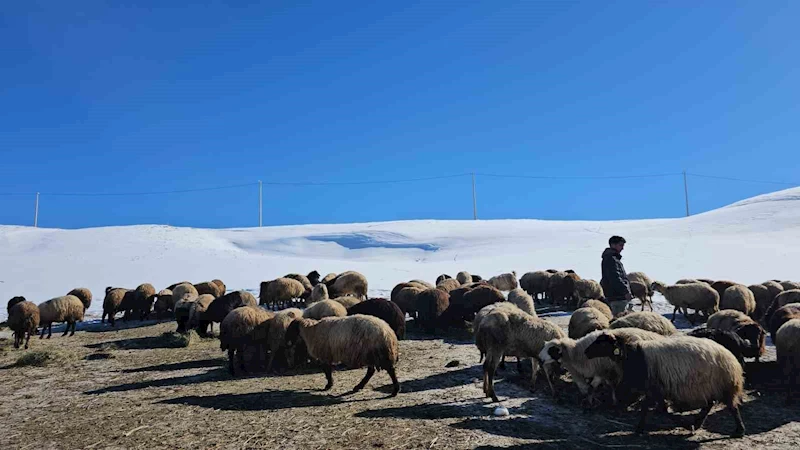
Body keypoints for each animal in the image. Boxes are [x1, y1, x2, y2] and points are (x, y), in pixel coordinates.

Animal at [584, 334, 748, 436]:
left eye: (602, 342)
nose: (586, 352)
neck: (631, 356)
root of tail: (731, 358)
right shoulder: (654, 388)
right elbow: (651, 408)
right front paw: (639, 429)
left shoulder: (654, 387)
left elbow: (659, 409)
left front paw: (686, 425)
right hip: (709, 386)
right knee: (710, 404)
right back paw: (698, 423)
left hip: (723, 385)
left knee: (731, 407)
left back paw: (739, 431)